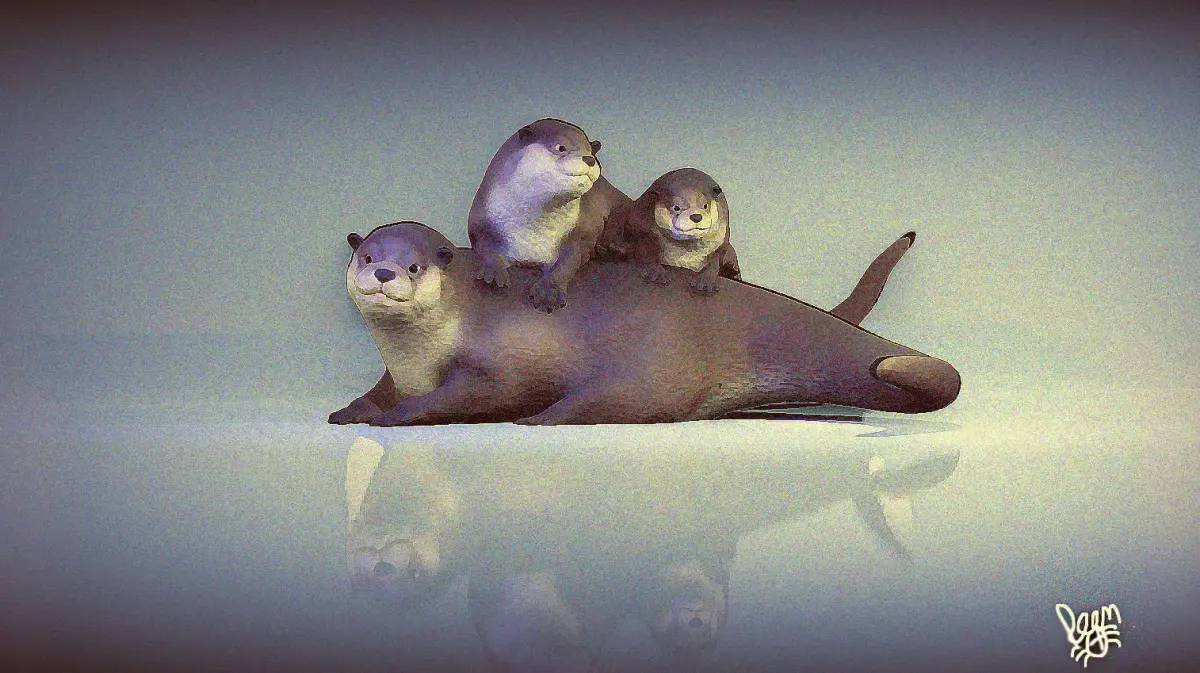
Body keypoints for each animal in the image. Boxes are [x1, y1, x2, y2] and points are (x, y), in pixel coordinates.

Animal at [328, 221, 959, 426]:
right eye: (366, 254)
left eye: (413, 264)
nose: (383, 271)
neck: (418, 356)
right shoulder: (392, 374)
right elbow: (374, 394)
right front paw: (348, 412)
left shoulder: (495, 364)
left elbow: (463, 395)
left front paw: (393, 418)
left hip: (652, 360)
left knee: (618, 401)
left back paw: (542, 418)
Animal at [468, 118, 631, 313]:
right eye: (561, 147)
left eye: (591, 151)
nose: (590, 159)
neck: (532, 232)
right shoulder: (480, 223)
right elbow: (486, 249)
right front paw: (492, 273)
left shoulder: (581, 232)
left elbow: (568, 262)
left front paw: (549, 291)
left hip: (621, 204)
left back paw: (613, 248)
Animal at [600, 168, 741, 294]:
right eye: (676, 207)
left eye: (705, 205)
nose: (696, 216)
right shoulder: (643, 228)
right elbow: (645, 249)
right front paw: (656, 272)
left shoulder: (722, 242)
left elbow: (715, 262)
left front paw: (704, 282)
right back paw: (618, 248)